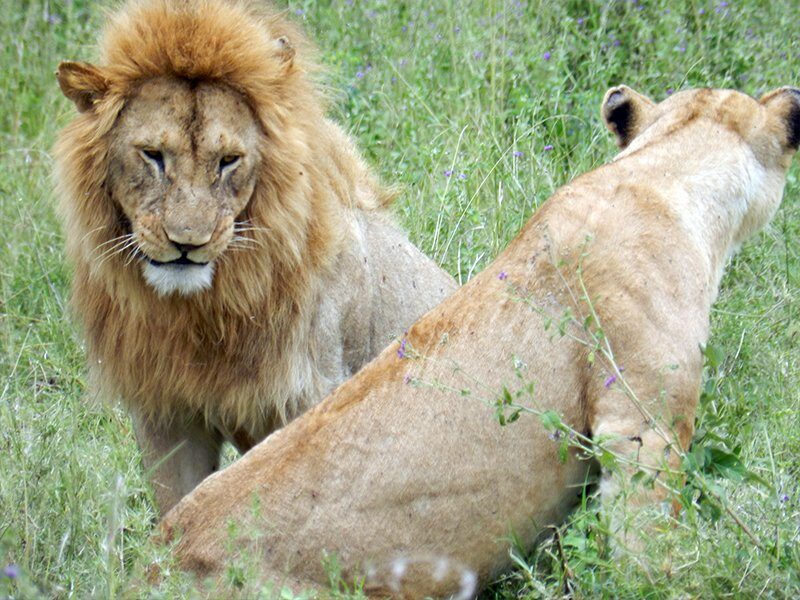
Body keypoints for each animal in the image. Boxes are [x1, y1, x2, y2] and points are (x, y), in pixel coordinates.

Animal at [53, 0, 456, 516]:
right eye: (153, 155)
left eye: (228, 161)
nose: (187, 242)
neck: (199, 314)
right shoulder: (165, 412)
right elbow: (176, 510)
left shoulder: (313, 394)